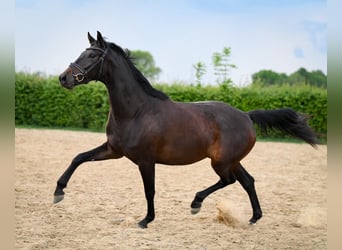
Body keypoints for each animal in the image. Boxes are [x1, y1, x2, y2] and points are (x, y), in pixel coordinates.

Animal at [54, 31, 316, 229]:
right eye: (82, 52)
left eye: (92, 55)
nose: (63, 78)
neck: (136, 111)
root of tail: (246, 116)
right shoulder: (113, 150)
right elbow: (79, 157)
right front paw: (58, 192)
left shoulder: (146, 160)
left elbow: (150, 190)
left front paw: (146, 220)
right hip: (231, 160)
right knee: (247, 181)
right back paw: (253, 218)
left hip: (221, 162)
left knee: (229, 180)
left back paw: (196, 204)